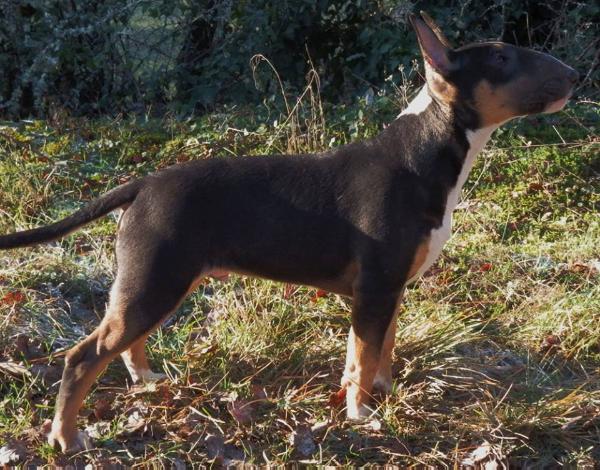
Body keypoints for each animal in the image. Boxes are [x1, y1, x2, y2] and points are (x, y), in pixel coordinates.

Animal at [0, 11, 576, 452]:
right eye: (501, 58)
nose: (574, 75)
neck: (424, 153)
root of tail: (142, 185)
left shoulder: (388, 289)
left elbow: (377, 351)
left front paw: (379, 395)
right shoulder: (374, 288)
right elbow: (364, 354)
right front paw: (361, 415)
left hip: (155, 283)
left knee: (122, 342)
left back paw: (146, 382)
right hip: (155, 280)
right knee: (83, 357)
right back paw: (67, 439)